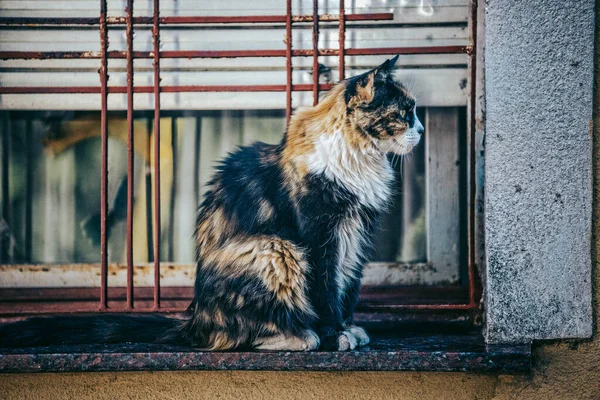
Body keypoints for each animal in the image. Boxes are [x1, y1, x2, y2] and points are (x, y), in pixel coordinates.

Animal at [0, 55, 422, 350]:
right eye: (404, 113)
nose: (420, 129)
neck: (361, 158)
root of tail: (195, 317)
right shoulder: (321, 236)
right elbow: (326, 292)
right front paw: (335, 335)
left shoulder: (357, 235)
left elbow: (346, 289)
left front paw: (349, 328)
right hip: (274, 249)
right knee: (242, 335)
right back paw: (300, 337)